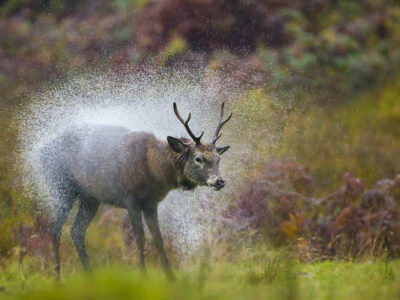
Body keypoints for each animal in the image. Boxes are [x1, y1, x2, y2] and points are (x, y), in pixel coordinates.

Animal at [39, 102, 233, 280]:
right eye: (198, 158)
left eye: (218, 159)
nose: (220, 181)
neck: (154, 171)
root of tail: (40, 153)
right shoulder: (130, 198)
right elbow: (140, 237)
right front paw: (144, 276)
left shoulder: (151, 202)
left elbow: (158, 238)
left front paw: (171, 278)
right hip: (61, 187)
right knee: (55, 228)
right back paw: (58, 277)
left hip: (90, 198)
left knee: (76, 231)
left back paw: (90, 276)